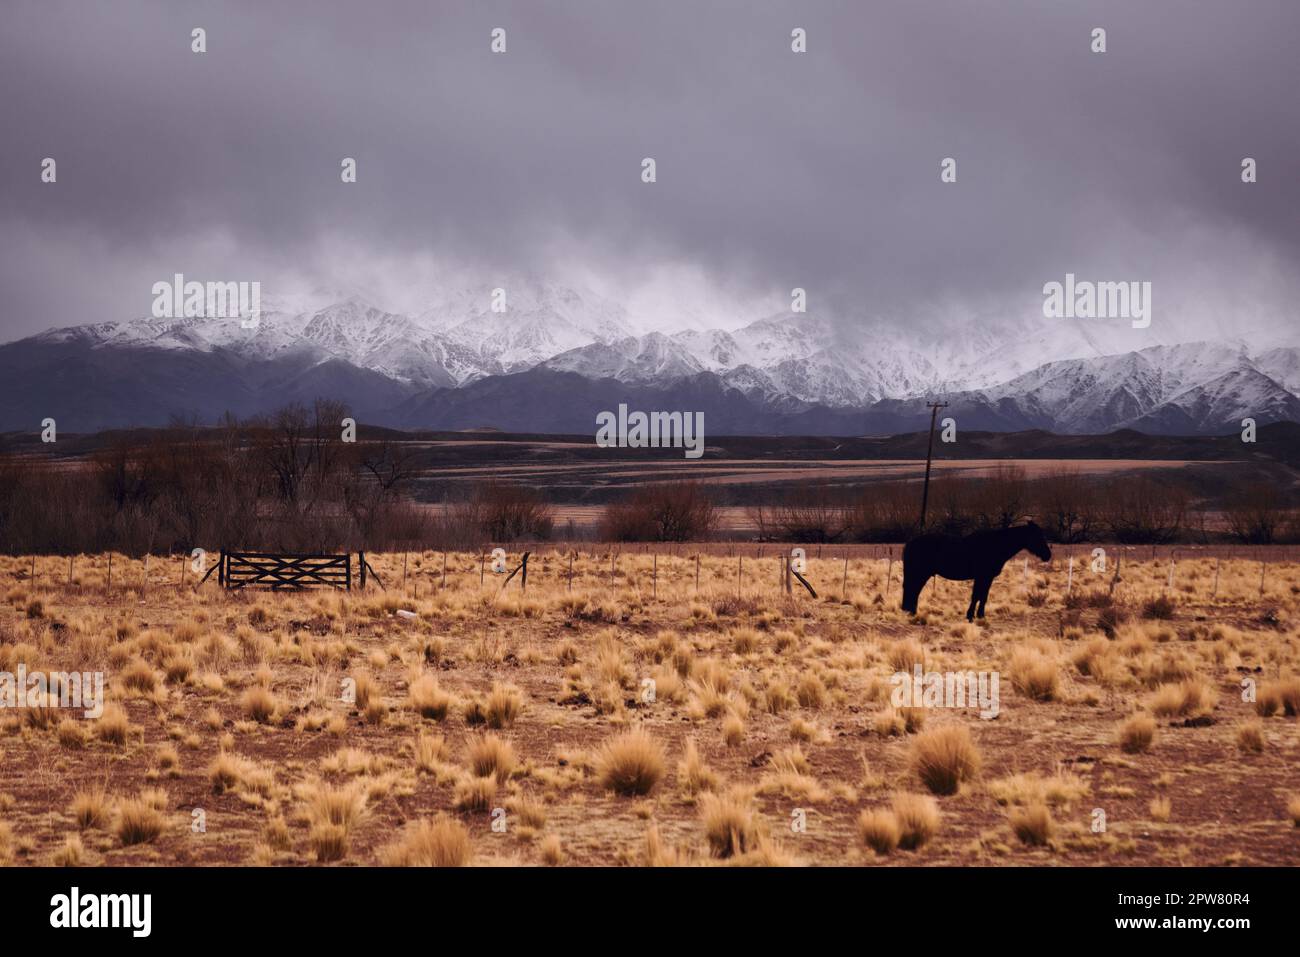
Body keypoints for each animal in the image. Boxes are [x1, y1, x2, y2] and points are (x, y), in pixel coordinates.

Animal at [901, 522, 1052, 621]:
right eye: (1038, 536)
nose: (1048, 555)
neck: (995, 545)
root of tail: (911, 543)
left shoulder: (987, 578)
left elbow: (982, 596)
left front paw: (980, 615)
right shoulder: (982, 576)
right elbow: (976, 596)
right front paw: (971, 616)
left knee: (914, 589)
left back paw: (911, 611)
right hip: (921, 573)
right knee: (913, 589)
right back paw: (911, 611)